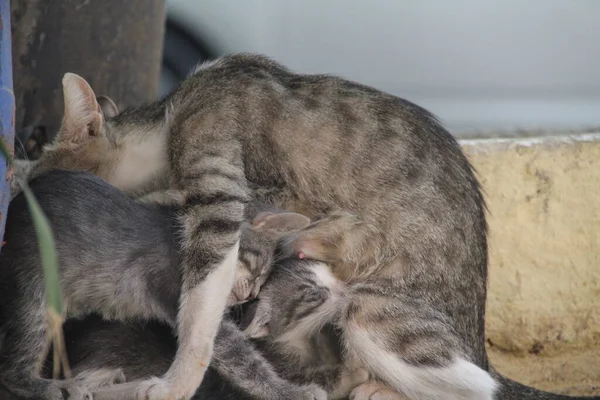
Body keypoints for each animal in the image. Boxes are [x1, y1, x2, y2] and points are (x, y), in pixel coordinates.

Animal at [0, 170, 322, 400]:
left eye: (263, 279)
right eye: (258, 270)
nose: (252, 293)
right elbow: (244, 362)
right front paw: (293, 392)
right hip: (35, 291)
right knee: (11, 370)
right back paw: (55, 388)